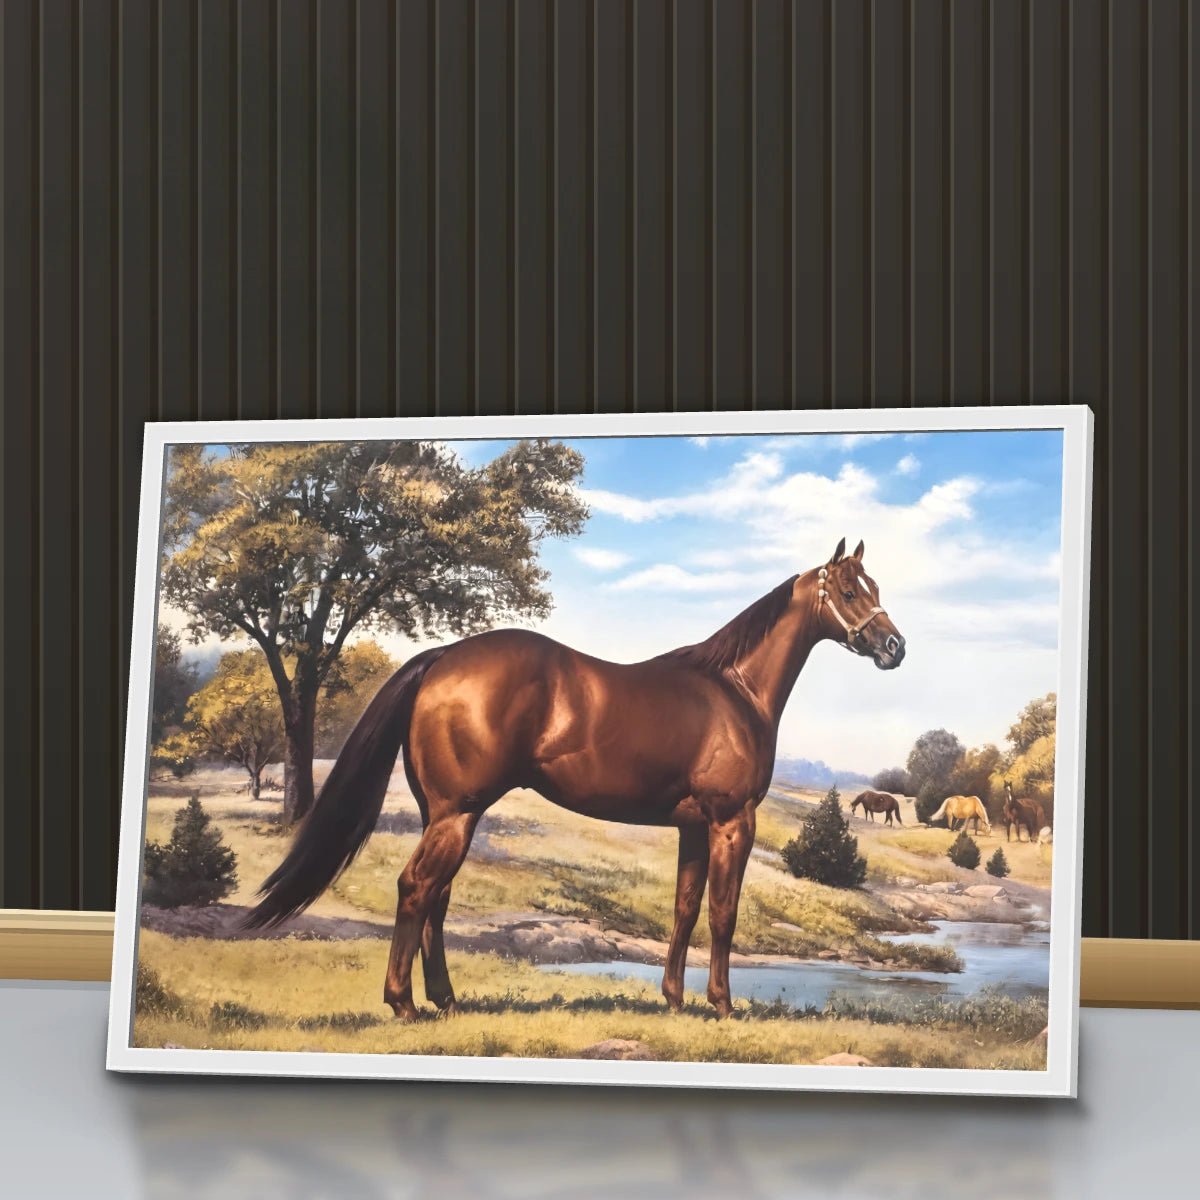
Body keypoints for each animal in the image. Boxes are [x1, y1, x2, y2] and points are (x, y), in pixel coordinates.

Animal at [244, 538, 906, 1020]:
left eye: (876, 587)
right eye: (850, 590)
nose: (894, 647)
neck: (734, 689)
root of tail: (442, 658)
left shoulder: (694, 828)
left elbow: (684, 909)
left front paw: (674, 1000)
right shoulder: (730, 821)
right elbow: (724, 912)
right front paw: (721, 1005)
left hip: (448, 815)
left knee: (437, 896)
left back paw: (446, 1000)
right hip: (457, 812)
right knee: (416, 888)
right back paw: (403, 1003)